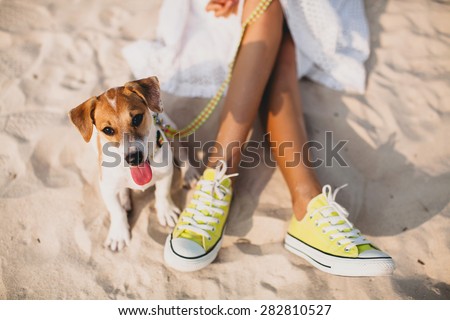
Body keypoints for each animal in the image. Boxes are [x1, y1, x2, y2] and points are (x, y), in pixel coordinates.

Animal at [68, 76, 179, 251]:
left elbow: (163, 193)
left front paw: (165, 211)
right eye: (108, 130)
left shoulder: (166, 173)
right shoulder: (107, 188)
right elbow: (116, 211)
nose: (134, 158)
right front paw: (119, 234)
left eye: (137, 118)